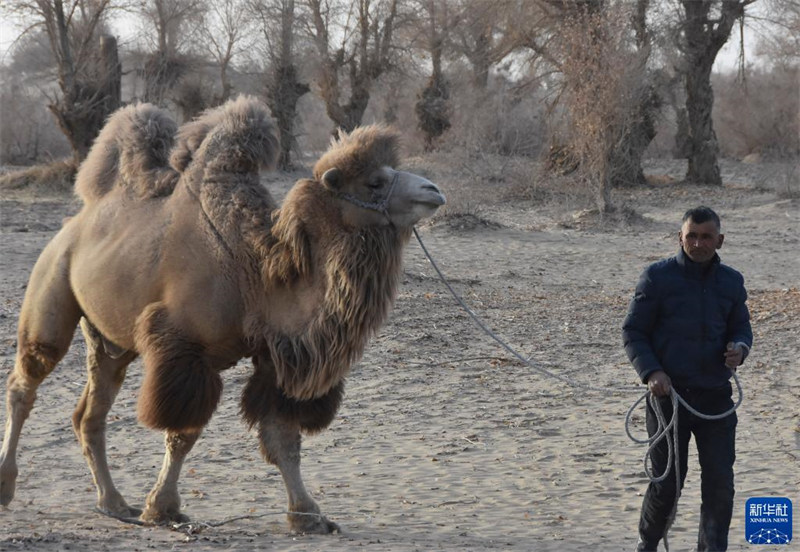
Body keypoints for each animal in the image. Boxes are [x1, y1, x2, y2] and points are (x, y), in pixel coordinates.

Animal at [0, 96, 444, 536]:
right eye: (374, 181)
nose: (434, 190)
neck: (258, 272)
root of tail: (72, 225)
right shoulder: (184, 349)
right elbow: (184, 434)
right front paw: (163, 509)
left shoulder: (272, 358)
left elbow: (283, 438)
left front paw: (308, 515)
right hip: (52, 285)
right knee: (26, 381)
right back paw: (9, 486)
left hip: (110, 340)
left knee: (90, 412)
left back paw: (113, 502)